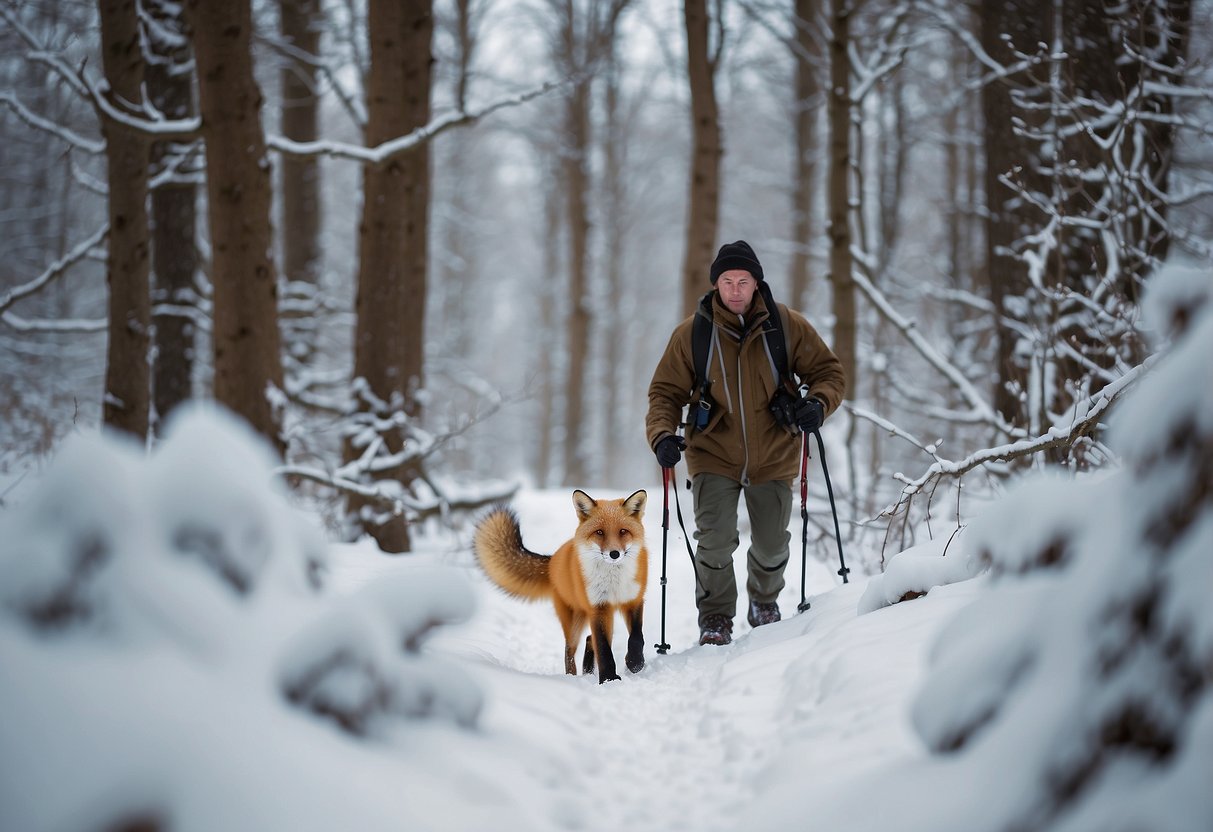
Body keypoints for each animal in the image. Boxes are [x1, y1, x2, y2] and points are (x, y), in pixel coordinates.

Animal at [473, 489, 650, 684]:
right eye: (600, 532)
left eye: (623, 531)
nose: (614, 554)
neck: (614, 581)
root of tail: (553, 561)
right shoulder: (598, 607)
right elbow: (604, 649)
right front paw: (608, 679)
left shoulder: (633, 600)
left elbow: (637, 637)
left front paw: (635, 663)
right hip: (575, 621)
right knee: (570, 650)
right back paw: (573, 677)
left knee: (589, 639)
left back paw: (588, 672)